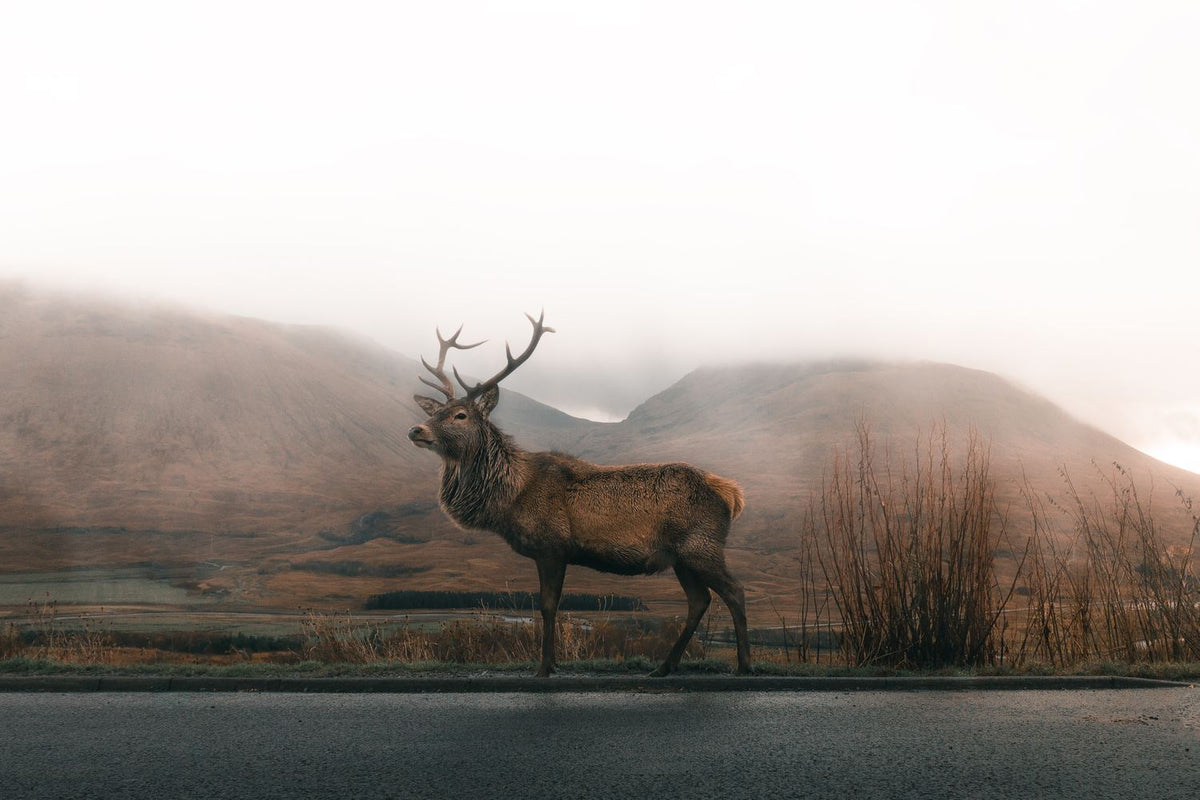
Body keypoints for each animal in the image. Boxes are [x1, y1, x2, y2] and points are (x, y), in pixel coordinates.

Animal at [407, 312, 751, 677]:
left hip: (702, 546)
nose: (416, 429)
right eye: (433, 412)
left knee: (735, 590)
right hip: (680, 557)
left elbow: (547, 606)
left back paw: (743, 664)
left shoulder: (552, 546)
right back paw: (664, 667)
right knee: (699, 600)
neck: (510, 498)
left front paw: (544, 667)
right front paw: (553, 662)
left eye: (460, 415)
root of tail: (731, 494)